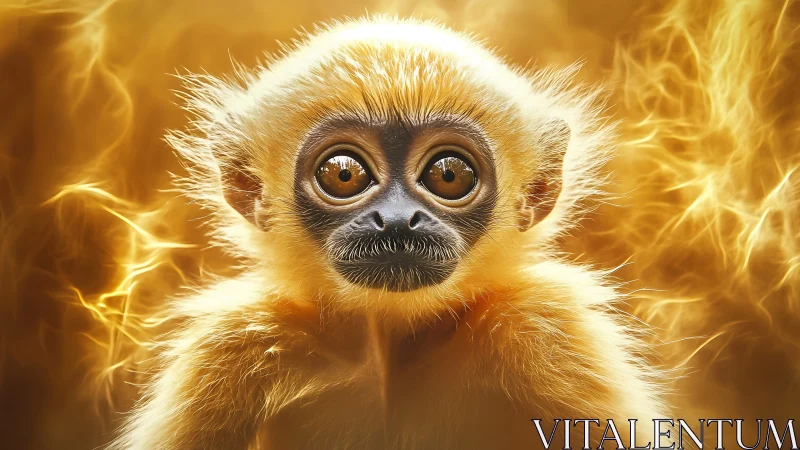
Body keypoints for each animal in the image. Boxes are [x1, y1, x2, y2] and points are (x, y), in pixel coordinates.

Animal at [109, 16, 670, 450]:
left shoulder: (545, 329)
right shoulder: (232, 347)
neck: (389, 348)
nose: (398, 219)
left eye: (449, 175)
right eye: (343, 174)